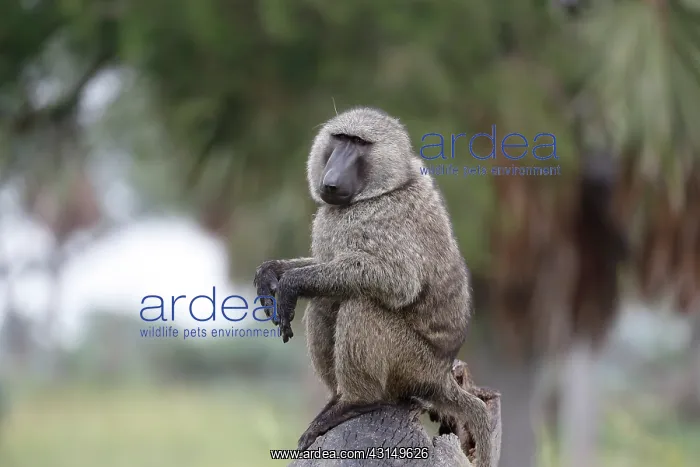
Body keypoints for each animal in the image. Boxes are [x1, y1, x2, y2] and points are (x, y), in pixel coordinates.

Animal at [253, 107, 493, 466]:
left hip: (411, 363)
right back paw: (336, 397)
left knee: (361, 304)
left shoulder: (383, 220)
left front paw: (290, 284)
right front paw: (271, 273)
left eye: (359, 143)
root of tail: (441, 375)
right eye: (340, 139)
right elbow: (324, 263)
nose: (331, 180)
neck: (388, 187)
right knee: (326, 300)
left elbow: (397, 280)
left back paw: (355, 401)